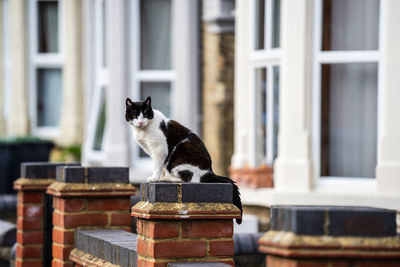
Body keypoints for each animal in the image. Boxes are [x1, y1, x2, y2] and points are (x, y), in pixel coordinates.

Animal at [126, 96, 242, 224]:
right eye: (135, 115)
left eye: (146, 114)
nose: (141, 122)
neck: (142, 131)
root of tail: (209, 171)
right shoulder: (159, 155)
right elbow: (163, 167)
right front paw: (161, 176)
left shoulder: (159, 150)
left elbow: (157, 167)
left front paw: (155, 178)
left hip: (181, 156)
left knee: (188, 179)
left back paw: (168, 178)